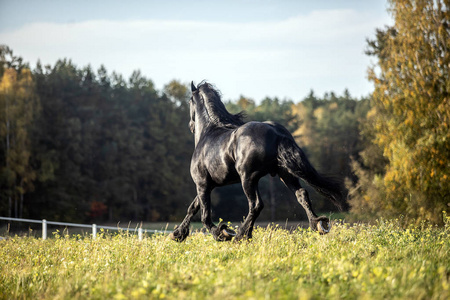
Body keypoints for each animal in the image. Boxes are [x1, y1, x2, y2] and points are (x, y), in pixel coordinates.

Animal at [171, 81, 346, 241]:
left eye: (189, 101)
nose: (191, 125)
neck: (208, 133)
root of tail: (275, 132)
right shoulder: (209, 185)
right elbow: (193, 207)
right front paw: (177, 234)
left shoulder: (202, 184)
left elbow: (204, 215)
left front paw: (222, 233)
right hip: (285, 174)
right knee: (301, 194)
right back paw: (317, 225)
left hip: (248, 178)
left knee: (256, 205)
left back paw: (241, 235)